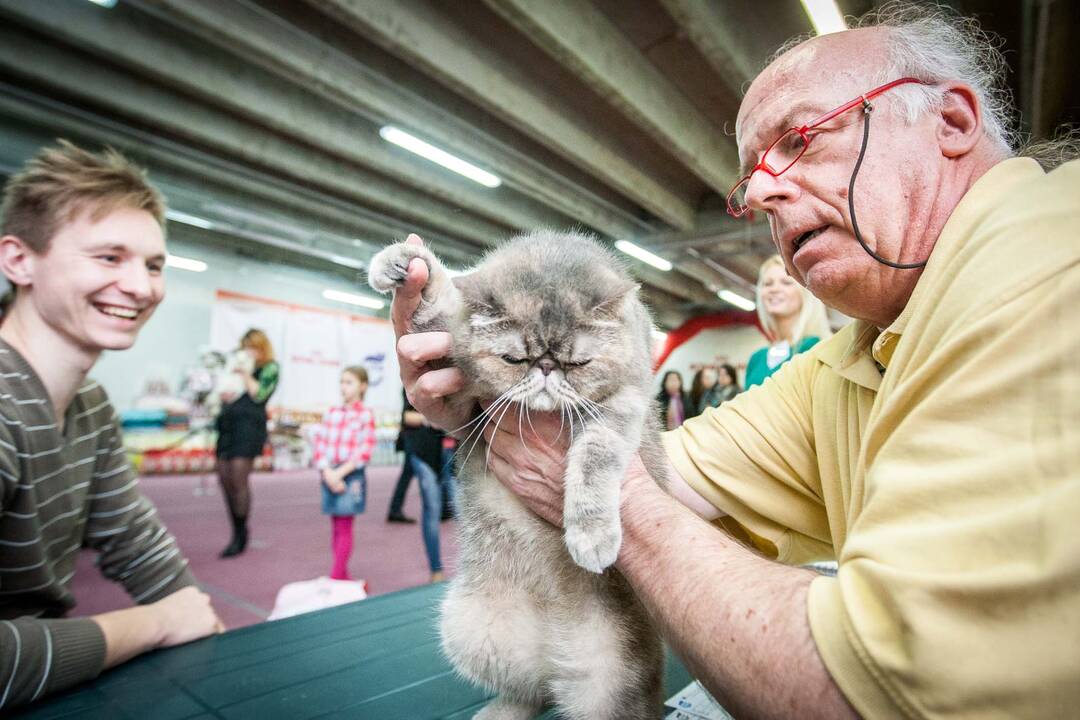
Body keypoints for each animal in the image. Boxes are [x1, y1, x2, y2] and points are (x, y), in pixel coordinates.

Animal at [375, 231, 669, 720]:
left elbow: (594, 458)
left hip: (609, 683)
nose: (546, 368)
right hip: (469, 629)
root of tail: (553, 649)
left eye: (578, 364)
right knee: (532, 692)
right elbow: (438, 305)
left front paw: (591, 534)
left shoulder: (624, 404)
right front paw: (406, 262)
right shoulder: (457, 365)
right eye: (515, 358)